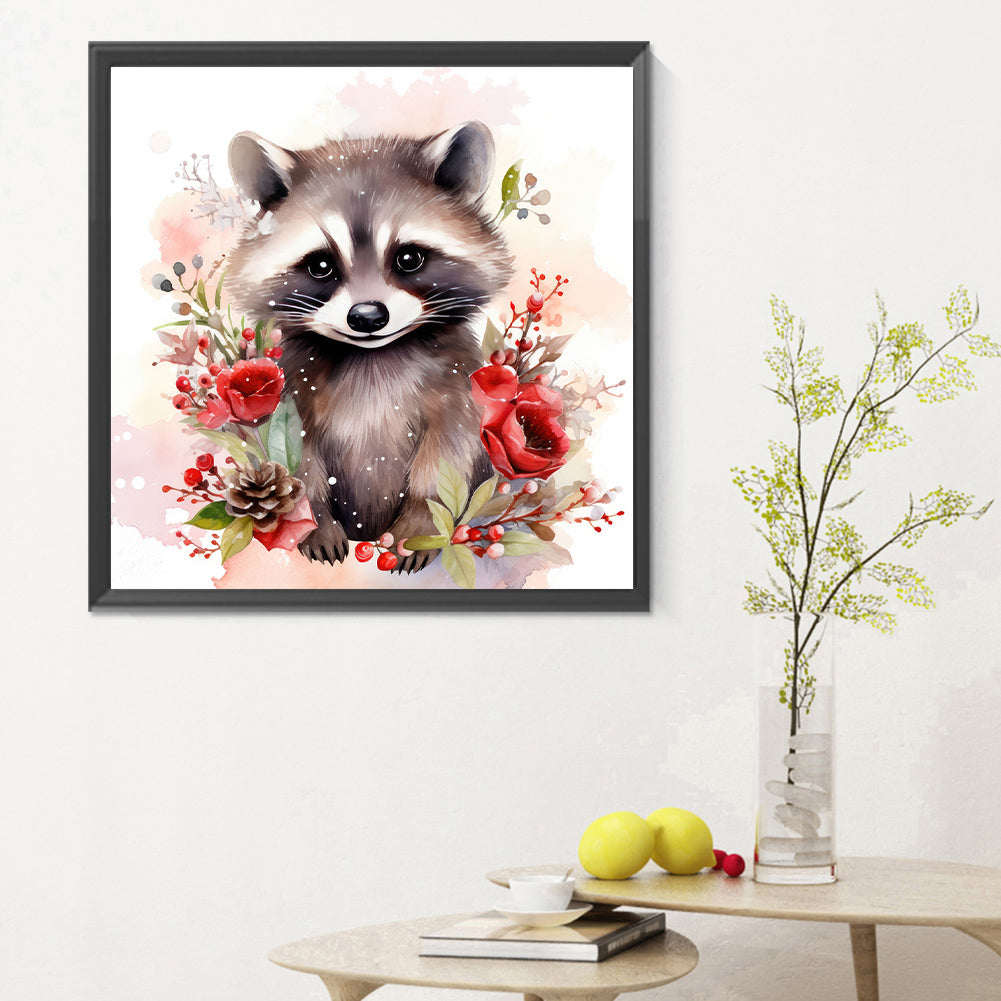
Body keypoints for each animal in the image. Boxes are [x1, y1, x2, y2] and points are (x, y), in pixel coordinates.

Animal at [225, 122, 514, 572]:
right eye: (320, 266)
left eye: (409, 258)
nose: (366, 316)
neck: (371, 355)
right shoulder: (290, 385)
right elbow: (297, 457)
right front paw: (314, 521)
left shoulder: (457, 380)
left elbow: (448, 451)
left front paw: (422, 520)